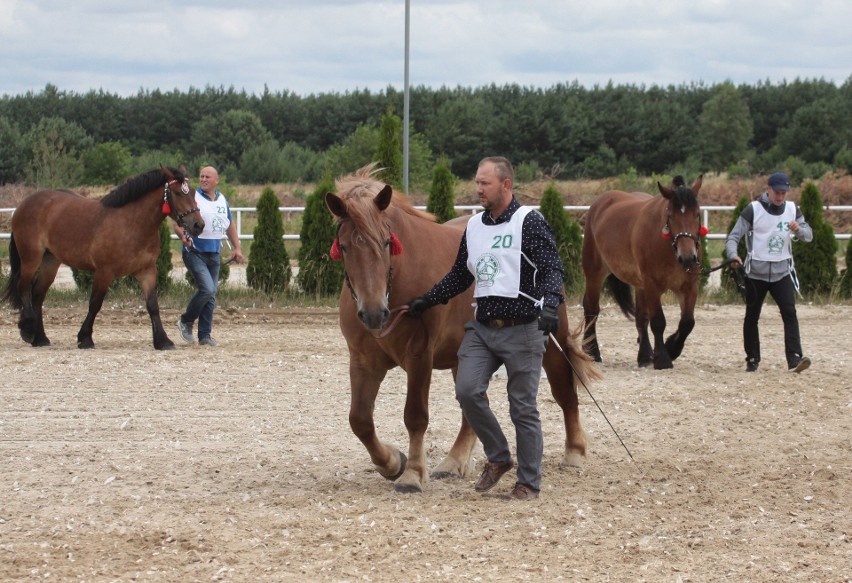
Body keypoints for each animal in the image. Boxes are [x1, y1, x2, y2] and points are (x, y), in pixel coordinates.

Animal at [2, 167, 204, 350]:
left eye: (193, 192)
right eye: (177, 192)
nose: (198, 225)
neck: (131, 223)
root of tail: (25, 203)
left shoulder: (147, 271)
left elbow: (153, 305)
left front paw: (163, 341)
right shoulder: (104, 272)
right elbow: (95, 304)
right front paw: (85, 338)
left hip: (50, 261)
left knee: (38, 295)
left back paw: (40, 338)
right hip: (31, 258)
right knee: (24, 287)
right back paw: (27, 329)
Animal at [326, 163, 600, 492]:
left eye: (385, 241)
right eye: (344, 246)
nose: (374, 313)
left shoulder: (419, 356)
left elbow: (415, 416)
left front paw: (413, 473)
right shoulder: (363, 361)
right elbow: (360, 421)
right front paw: (391, 462)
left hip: (551, 344)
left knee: (565, 392)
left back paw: (574, 453)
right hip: (464, 356)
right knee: (472, 406)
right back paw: (454, 461)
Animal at [580, 176, 704, 372]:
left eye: (697, 214)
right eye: (670, 216)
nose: (687, 257)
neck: (668, 247)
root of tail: (600, 203)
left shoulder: (689, 286)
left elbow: (687, 323)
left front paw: (672, 348)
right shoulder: (652, 285)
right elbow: (658, 321)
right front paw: (663, 359)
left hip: (639, 285)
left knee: (641, 318)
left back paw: (644, 356)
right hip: (595, 272)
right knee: (591, 309)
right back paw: (592, 351)